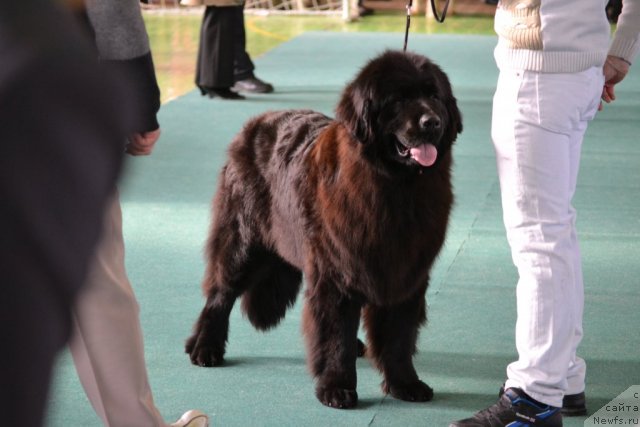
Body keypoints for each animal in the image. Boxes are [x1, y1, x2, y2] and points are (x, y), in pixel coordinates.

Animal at [185, 50, 460, 412]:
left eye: (434, 96)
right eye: (399, 100)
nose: (432, 122)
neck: (395, 189)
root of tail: (256, 122)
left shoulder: (405, 275)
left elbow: (399, 336)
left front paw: (405, 384)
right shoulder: (336, 272)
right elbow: (334, 334)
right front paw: (336, 388)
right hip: (242, 242)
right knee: (219, 294)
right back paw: (205, 348)